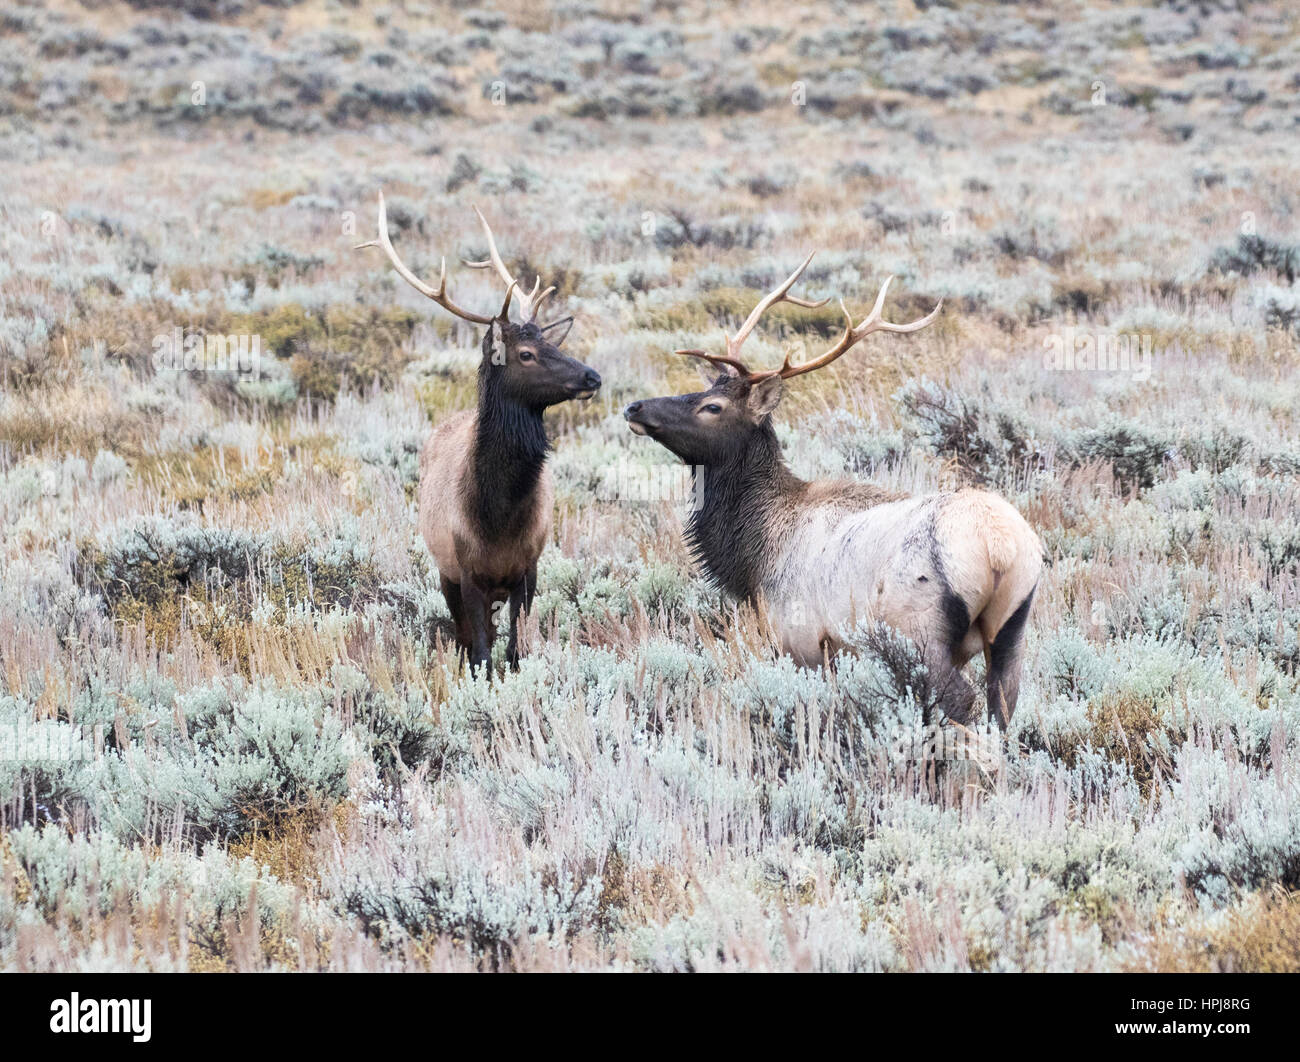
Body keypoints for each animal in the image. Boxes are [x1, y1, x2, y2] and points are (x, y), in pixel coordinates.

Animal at [356, 194, 598, 665]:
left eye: (551, 342)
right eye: (526, 353)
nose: (592, 376)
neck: (498, 519)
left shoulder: (529, 567)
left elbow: (517, 651)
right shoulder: (465, 571)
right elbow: (482, 653)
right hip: (444, 571)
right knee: (465, 636)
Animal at [624, 252, 1040, 722]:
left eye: (712, 406)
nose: (635, 407)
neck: (753, 558)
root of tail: (998, 548)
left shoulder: (801, 635)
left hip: (919, 628)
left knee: (962, 701)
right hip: (1012, 628)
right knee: (1002, 705)